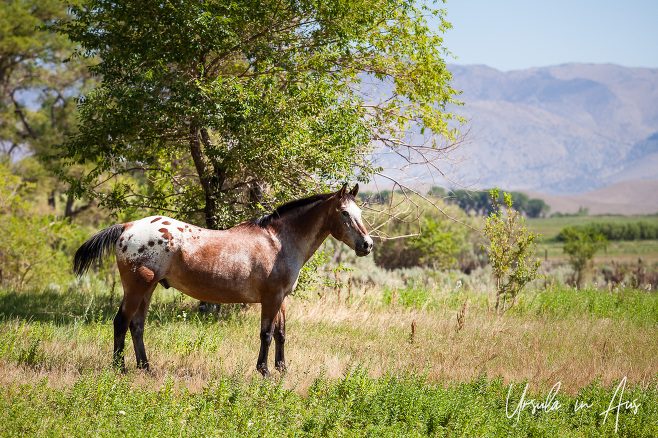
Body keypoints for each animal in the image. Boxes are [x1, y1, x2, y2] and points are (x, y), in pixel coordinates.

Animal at [72, 183, 372, 374]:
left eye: (359, 213)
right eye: (345, 213)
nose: (367, 245)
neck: (279, 241)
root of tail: (128, 226)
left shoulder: (282, 298)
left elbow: (281, 334)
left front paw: (283, 370)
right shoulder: (271, 298)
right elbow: (266, 334)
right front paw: (264, 371)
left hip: (148, 289)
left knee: (137, 326)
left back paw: (145, 368)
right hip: (136, 288)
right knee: (121, 322)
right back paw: (119, 369)